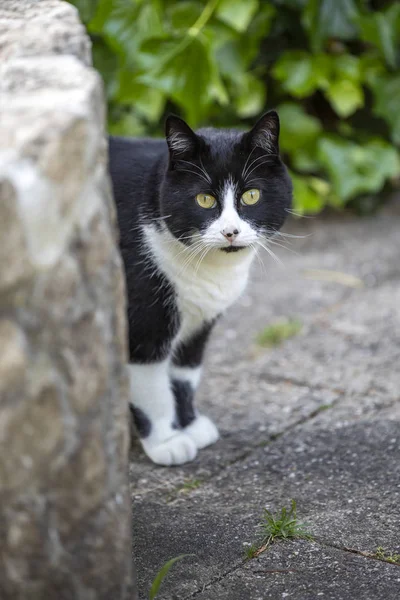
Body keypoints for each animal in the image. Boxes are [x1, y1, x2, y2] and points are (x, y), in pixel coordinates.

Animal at [108, 112, 292, 468]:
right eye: (204, 199)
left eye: (251, 196)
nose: (231, 231)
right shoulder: (144, 328)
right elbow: (153, 389)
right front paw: (167, 442)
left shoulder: (199, 325)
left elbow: (185, 375)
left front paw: (190, 425)